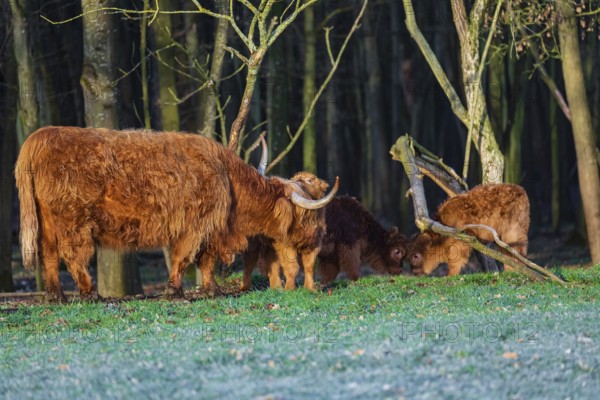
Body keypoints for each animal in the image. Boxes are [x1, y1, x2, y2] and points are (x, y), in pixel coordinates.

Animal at [14, 126, 336, 302]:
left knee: (49, 253)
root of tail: (39, 137)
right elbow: (185, 257)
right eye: (308, 213)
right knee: (72, 254)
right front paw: (175, 290)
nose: (319, 236)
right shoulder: (197, 223)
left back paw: (56, 295)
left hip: (47, 220)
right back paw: (89, 291)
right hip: (73, 219)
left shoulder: (211, 228)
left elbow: (206, 261)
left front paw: (212, 289)